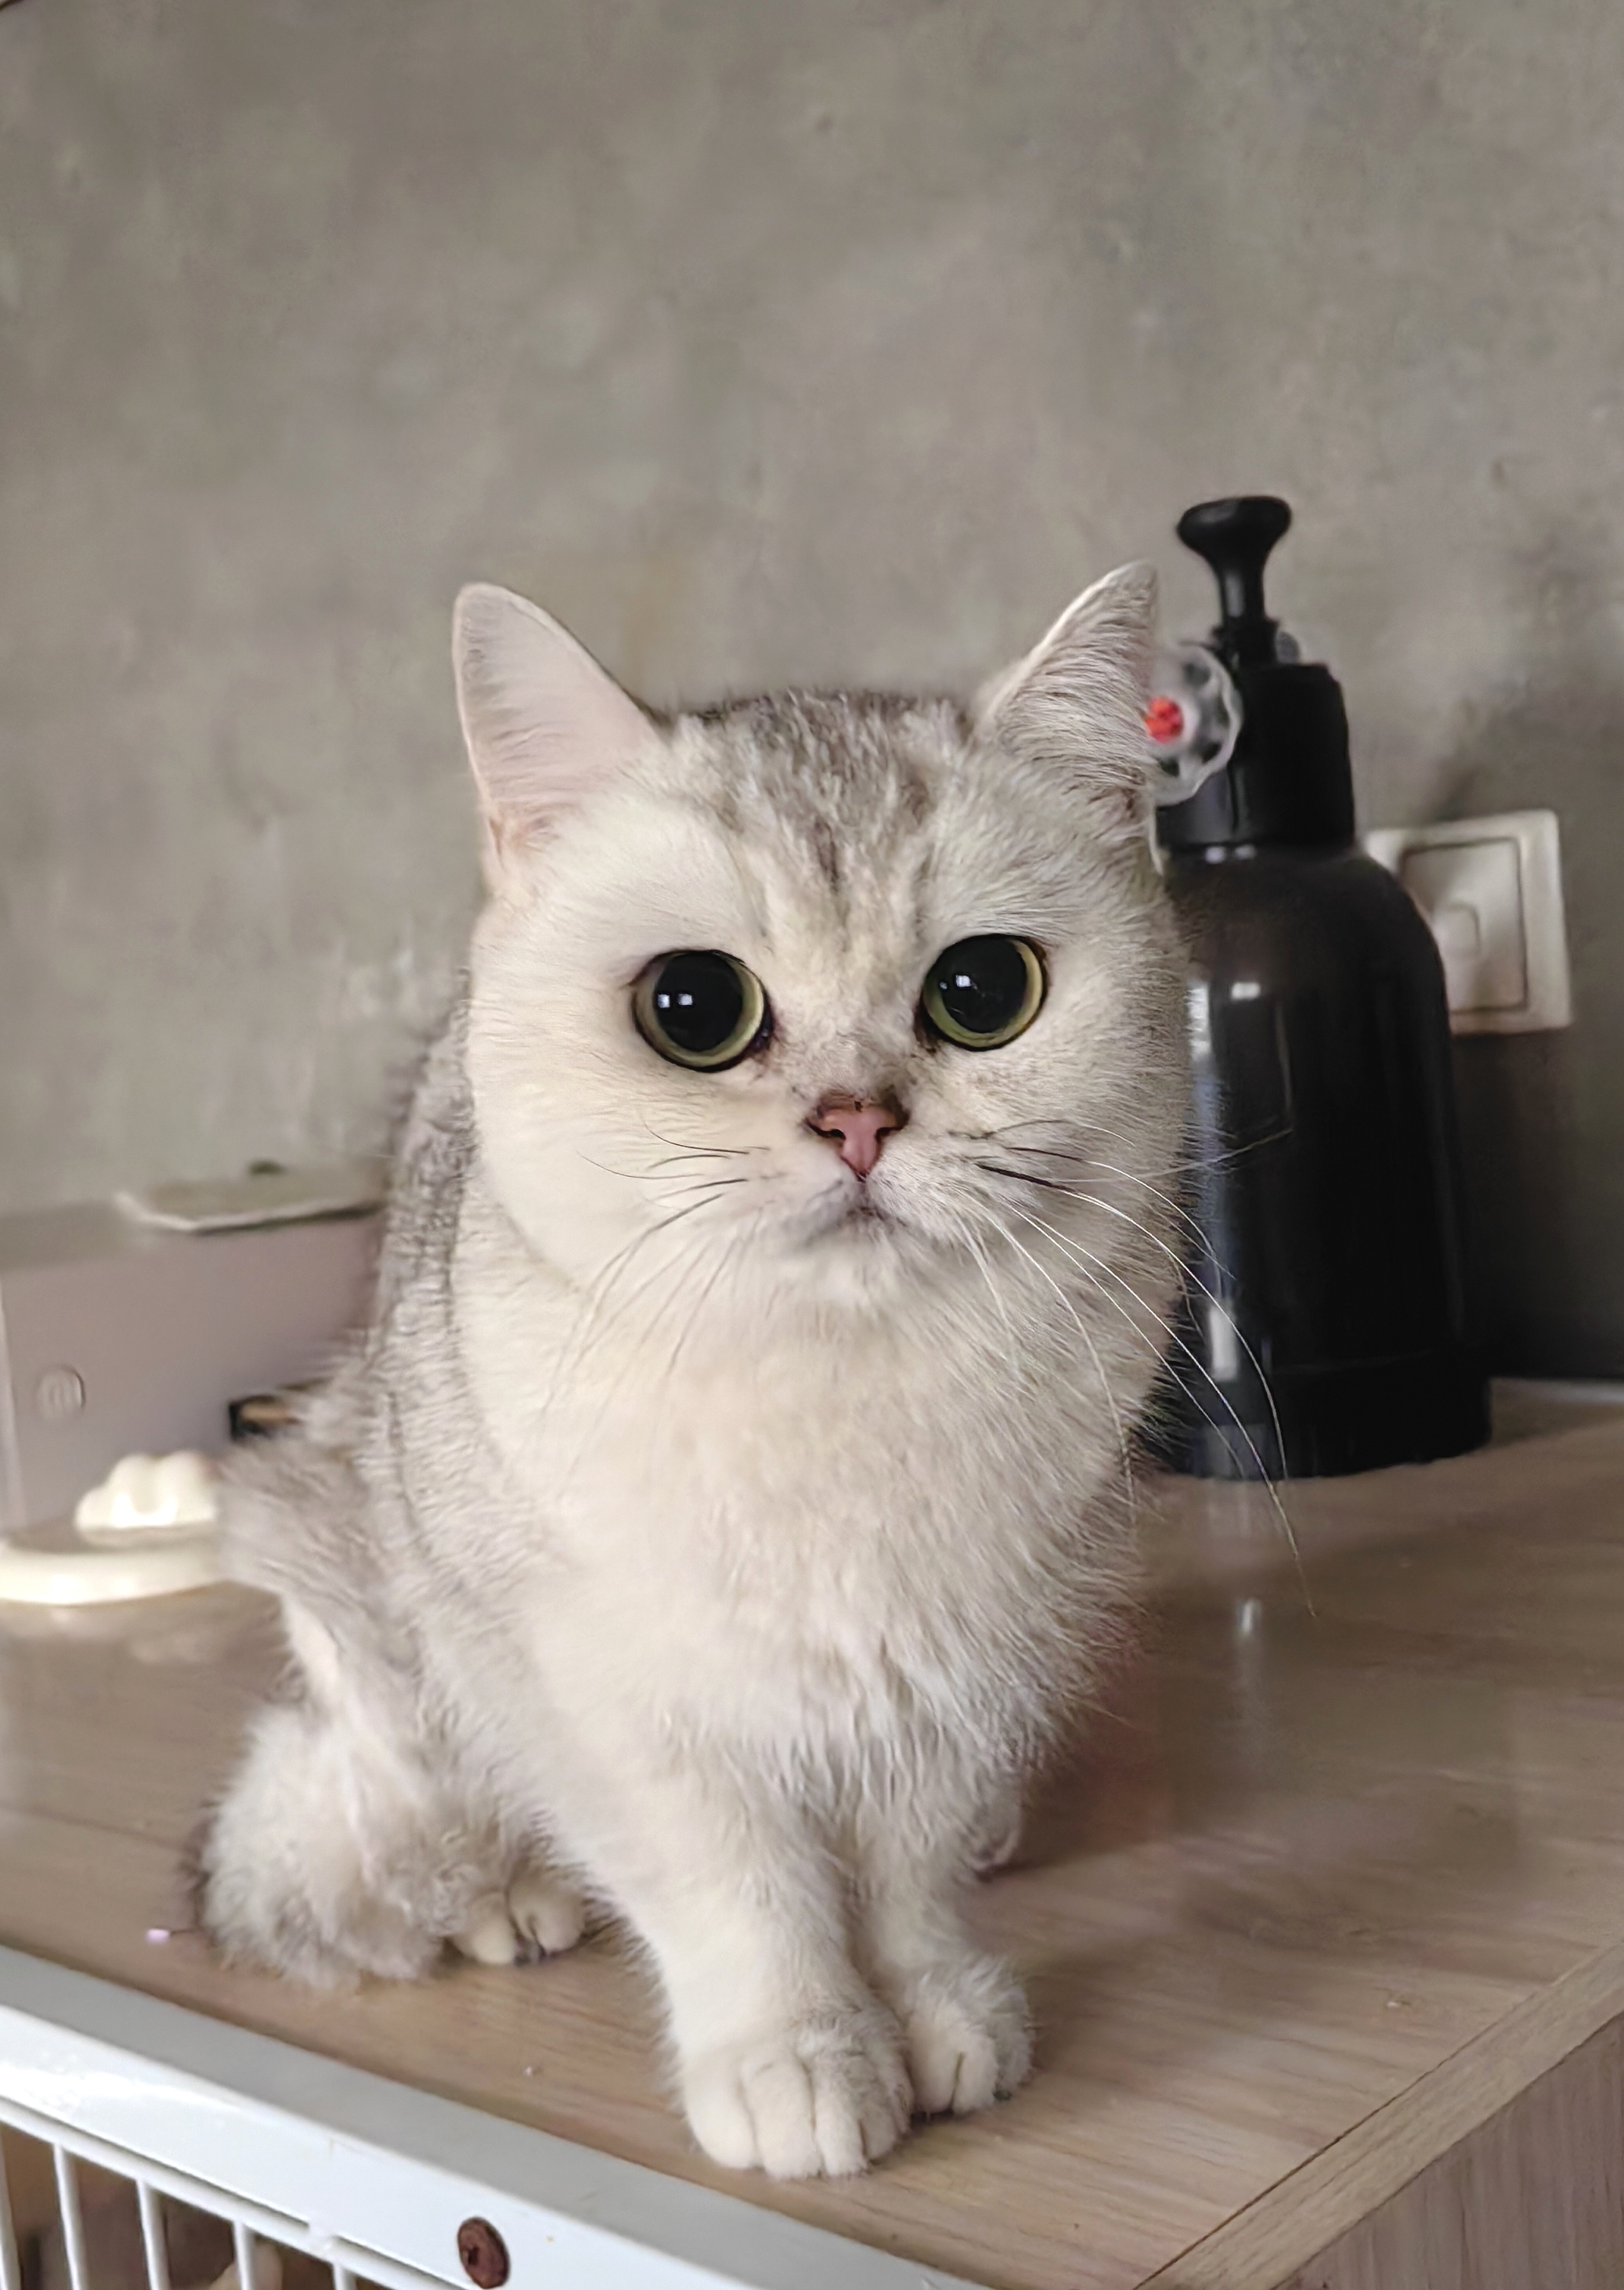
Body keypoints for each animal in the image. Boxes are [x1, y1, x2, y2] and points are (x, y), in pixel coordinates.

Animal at [197, 563, 1188, 2179]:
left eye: (983, 990)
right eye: (691, 1009)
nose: (857, 1119)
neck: (834, 1397)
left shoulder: (948, 1666)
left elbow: (902, 1871)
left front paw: (931, 2003)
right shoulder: (606, 1691)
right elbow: (734, 1888)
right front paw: (797, 2053)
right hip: (357, 1590)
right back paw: (506, 1893)